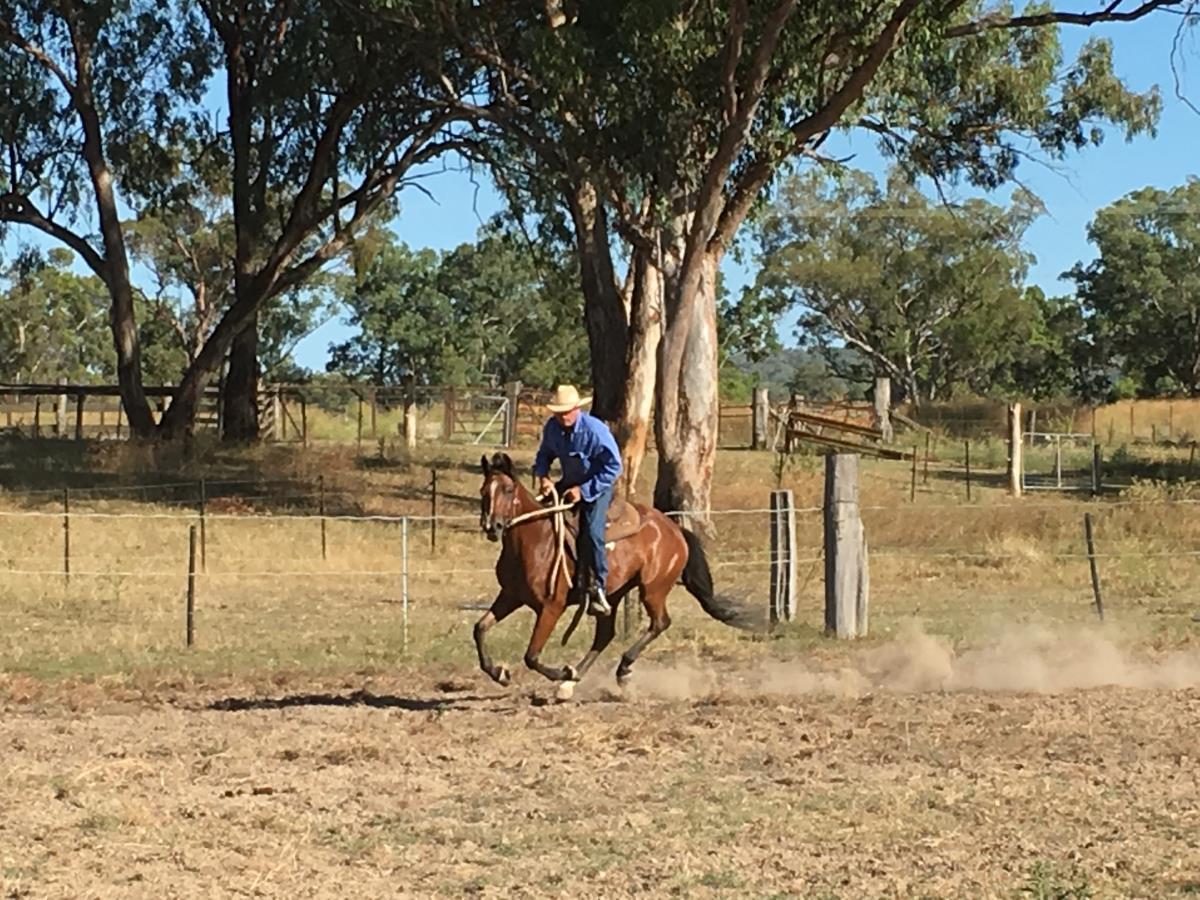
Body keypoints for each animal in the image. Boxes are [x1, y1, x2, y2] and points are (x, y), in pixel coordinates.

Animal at [472, 451, 755, 695]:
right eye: (484, 491)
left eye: (508, 490)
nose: (492, 526)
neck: (535, 540)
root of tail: (674, 529)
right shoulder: (511, 596)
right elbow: (480, 628)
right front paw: (499, 673)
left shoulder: (552, 606)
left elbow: (531, 656)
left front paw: (563, 672)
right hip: (614, 594)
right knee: (605, 635)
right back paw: (572, 683)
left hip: (653, 589)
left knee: (660, 623)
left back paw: (621, 668)